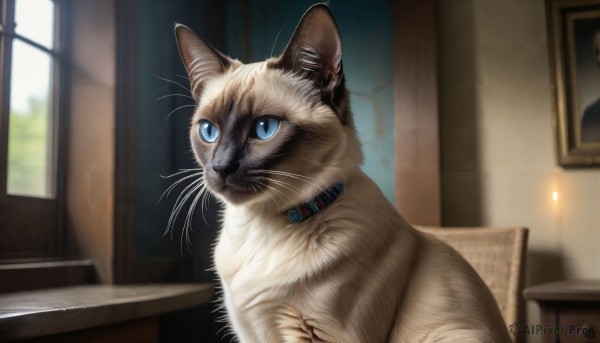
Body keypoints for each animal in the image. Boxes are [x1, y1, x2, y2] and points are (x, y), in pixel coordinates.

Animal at [173, 3, 510, 343]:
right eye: (208, 131)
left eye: (264, 128)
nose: (221, 167)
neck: (260, 224)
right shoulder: (250, 333)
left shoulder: (318, 334)